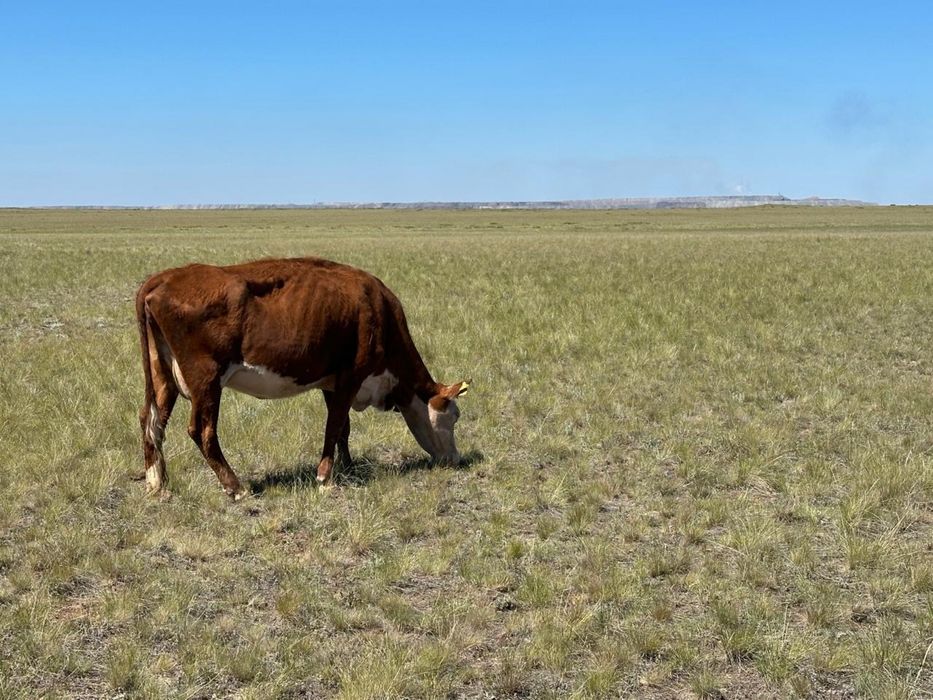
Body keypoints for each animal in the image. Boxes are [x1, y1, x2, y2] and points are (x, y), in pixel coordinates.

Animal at [135, 257, 470, 500]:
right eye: (454, 417)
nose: (455, 458)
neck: (379, 310)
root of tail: (162, 278)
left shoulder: (331, 383)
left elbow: (343, 429)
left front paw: (348, 467)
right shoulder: (352, 375)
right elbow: (334, 425)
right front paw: (325, 477)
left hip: (162, 374)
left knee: (151, 421)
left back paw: (157, 483)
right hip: (205, 379)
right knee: (202, 430)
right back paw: (236, 487)